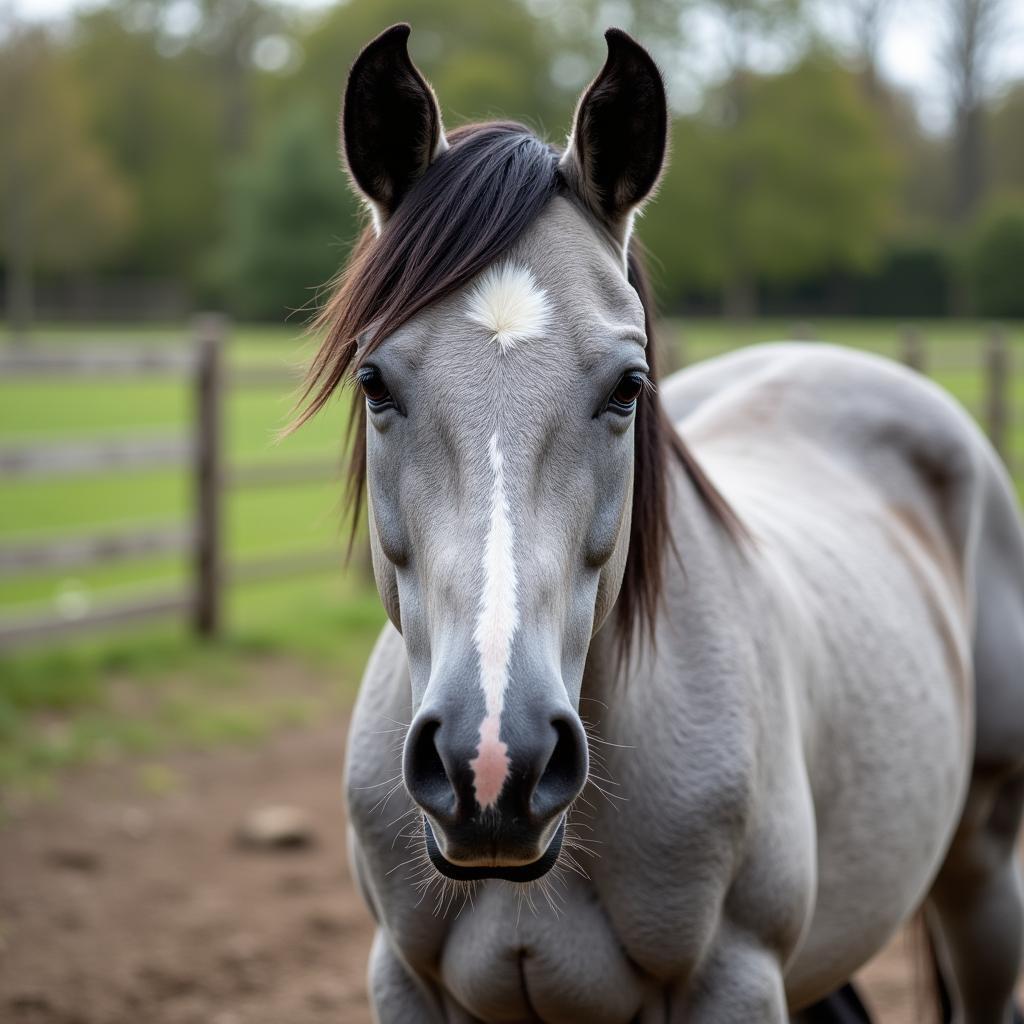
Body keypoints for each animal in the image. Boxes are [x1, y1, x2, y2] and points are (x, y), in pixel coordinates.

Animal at [299, 24, 1024, 1024]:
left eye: (627, 386)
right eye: (374, 382)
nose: (493, 762)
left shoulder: (735, 980)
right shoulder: (402, 982)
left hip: (983, 869)